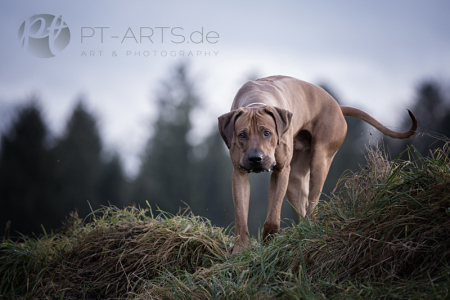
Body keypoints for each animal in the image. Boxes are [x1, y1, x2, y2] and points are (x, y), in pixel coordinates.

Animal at [218, 75, 418, 253]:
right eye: (242, 135)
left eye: (267, 133)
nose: (255, 158)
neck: (257, 101)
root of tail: (337, 106)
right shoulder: (239, 173)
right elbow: (241, 217)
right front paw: (240, 250)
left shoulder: (281, 170)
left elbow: (273, 216)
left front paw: (268, 239)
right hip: (295, 180)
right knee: (302, 207)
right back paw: (299, 234)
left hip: (320, 160)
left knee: (312, 205)